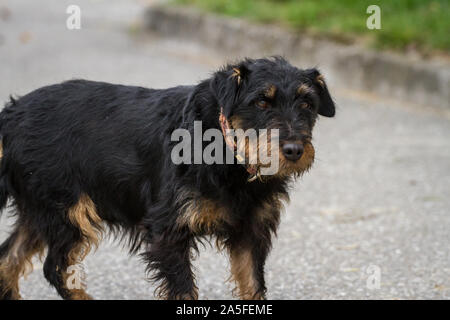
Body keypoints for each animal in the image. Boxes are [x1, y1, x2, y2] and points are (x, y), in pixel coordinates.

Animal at [0, 57, 334, 300]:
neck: (226, 151)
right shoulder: (168, 231)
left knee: (8, 260)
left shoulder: (250, 232)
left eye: (307, 104)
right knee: (55, 268)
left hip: (40, 212)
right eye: (262, 102)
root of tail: (11, 115)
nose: (294, 150)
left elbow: (253, 286)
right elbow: (184, 291)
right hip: (68, 211)